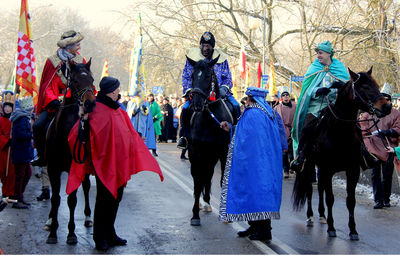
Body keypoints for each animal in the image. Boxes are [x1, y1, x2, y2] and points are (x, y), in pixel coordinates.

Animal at [44, 60, 96, 245]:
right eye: (74, 81)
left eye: (92, 79)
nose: (90, 104)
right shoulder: (52, 169)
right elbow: (55, 198)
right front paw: (53, 232)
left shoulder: (74, 169)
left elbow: (72, 200)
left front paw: (71, 233)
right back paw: (49, 220)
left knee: (86, 187)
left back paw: (88, 217)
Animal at [185, 56, 238, 225]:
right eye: (192, 76)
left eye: (208, 76)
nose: (196, 104)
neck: (210, 119)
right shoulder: (196, 152)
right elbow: (197, 182)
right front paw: (195, 215)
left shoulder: (223, 152)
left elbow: (222, 180)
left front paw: (225, 214)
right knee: (202, 176)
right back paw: (204, 203)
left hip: (212, 155)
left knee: (208, 175)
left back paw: (208, 202)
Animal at [290, 67, 390, 240]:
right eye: (364, 87)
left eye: (377, 85)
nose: (386, 107)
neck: (340, 132)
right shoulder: (327, 169)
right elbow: (330, 198)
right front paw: (331, 228)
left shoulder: (352, 170)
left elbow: (351, 200)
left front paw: (353, 230)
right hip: (309, 165)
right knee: (310, 189)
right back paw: (310, 217)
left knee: (320, 188)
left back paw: (322, 215)